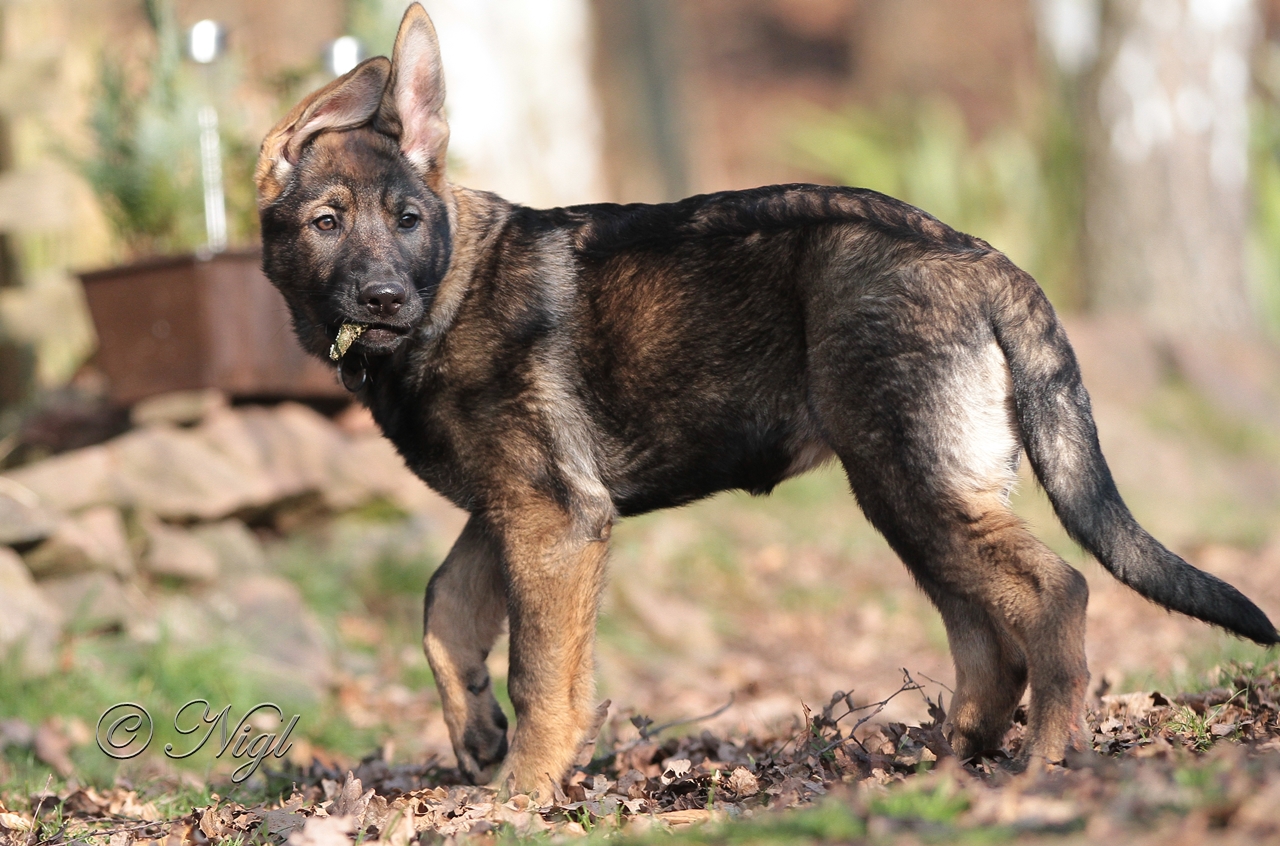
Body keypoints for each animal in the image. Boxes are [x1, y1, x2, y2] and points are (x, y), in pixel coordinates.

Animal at [254, 1, 1274, 793]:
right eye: (328, 223)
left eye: (408, 221)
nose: (384, 299)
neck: (449, 293)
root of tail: (981, 256)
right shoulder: (509, 509)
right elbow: (444, 608)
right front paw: (476, 737)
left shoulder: (551, 518)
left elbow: (540, 671)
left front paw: (523, 794)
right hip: (912, 485)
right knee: (986, 634)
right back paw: (957, 754)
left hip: (911, 476)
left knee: (1054, 594)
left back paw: (1048, 761)